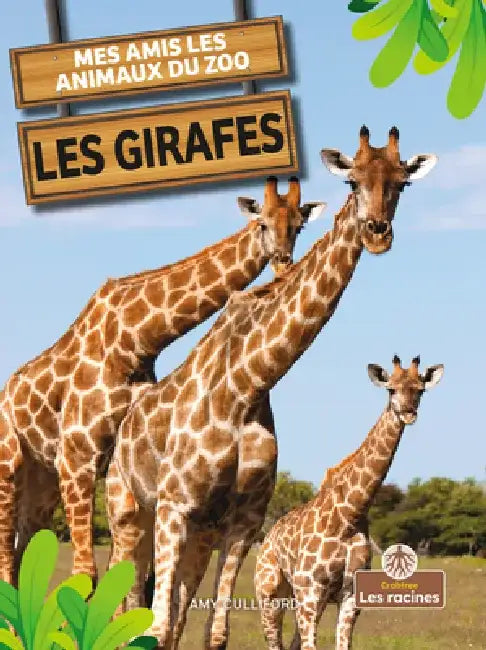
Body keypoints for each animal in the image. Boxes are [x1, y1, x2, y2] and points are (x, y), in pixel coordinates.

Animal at [0, 176, 325, 586]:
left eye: (298, 226)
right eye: (262, 223)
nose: (284, 264)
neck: (134, 340)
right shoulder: (78, 456)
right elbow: (88, 570)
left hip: (41, 482)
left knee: (20, 550)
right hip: (10, 465)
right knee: (6, 556)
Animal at [254, 355, 444, 650]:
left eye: (420, 390)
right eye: (391, 389)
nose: (408, 412)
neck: (349, 515)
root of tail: (268, 536)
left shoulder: (350, 596)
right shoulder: (310, 592)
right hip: (270, 591)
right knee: (274, 641)